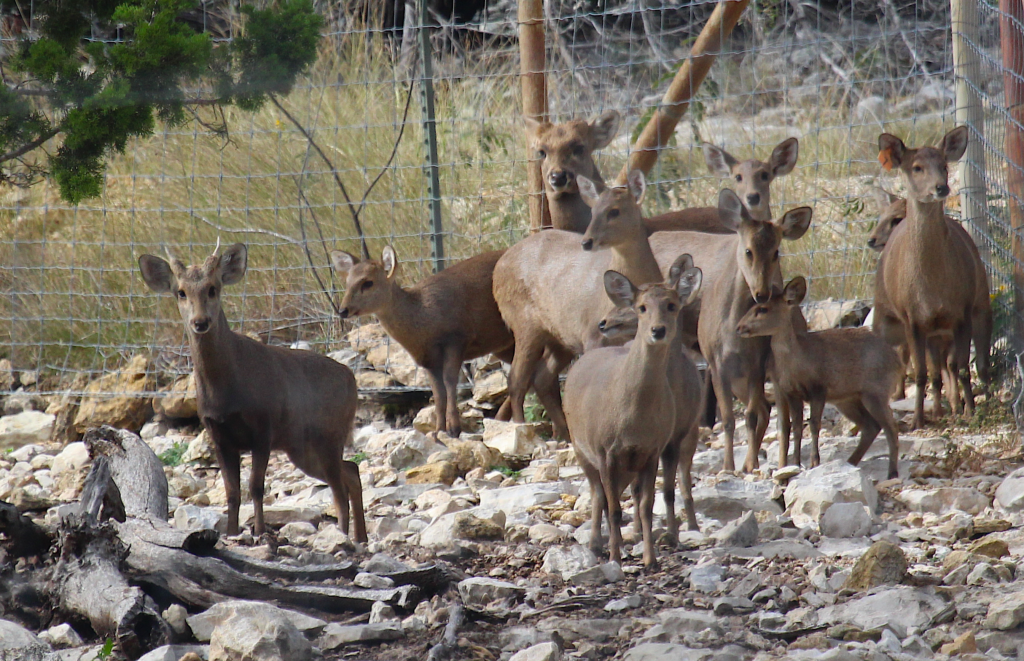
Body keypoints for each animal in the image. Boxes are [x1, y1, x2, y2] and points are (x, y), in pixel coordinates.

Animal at [138, 243, 367, 540]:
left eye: (213, 288)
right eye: (181, 291)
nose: (200, 321)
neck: (227, 391)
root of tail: (351, 378)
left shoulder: (263, 429)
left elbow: (256, 486)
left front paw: (259, 531)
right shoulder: (219, 436)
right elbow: (232, 492)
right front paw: (232, 532)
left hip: (329, 436)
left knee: (339, 486)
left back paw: (343, 535)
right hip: (302, 447)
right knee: (350, 470)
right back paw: (360, 537)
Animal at [330, 247, 517, 438]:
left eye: (368, 282)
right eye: (347, 282)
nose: (343, 310)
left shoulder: (456, 339)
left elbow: (450, 381)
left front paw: (454, 429)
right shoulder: (428, 359)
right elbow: (438, 392)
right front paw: (438, 431)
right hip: (502, 345)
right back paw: (502, 417)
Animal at [564, 258, 702, 567]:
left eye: (672, 304)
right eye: (641, 307)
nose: (658, 330)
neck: (632, 419)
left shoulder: (652, 449)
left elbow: (648, 504)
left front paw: (651, 558)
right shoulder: (604, 449)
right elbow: (614, 508)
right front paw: (616, 557)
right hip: (580, 447)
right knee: (598, 495)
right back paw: (596, 545)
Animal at [737, 277, 902, 478]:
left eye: (762, 309)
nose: (739, 327)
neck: (798, 362)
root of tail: (897, 361)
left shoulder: (819, 388)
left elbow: (814, 424)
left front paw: (814, 462)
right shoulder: (792, 392)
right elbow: (797, 427)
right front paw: (796, 463)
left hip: (876, 392)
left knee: (891, 427)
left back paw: (892, 473)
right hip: (847, 400)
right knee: (871, 426)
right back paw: (851, 462)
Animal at [872, 127, 979, 429]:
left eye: (944, 165)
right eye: (916, 167)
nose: (941, 187)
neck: (933, 290)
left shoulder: (963, 310)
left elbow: (962, 368)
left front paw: (971, 411)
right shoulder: (911, 317)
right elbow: (920, 374)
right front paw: (917, 420)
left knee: (943, 368)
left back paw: (948, 409)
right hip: (886, 316)